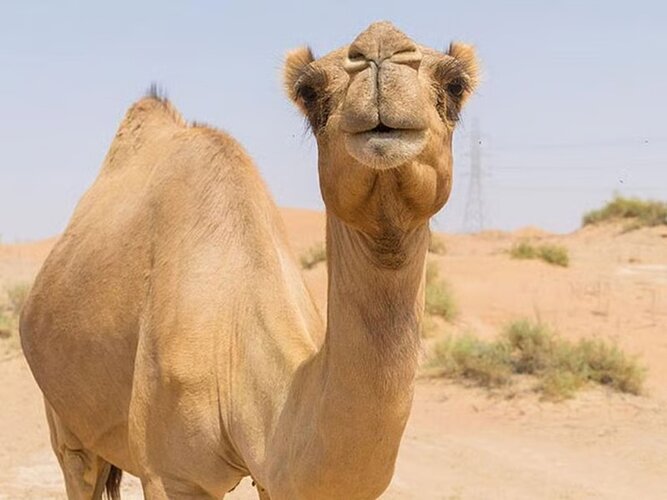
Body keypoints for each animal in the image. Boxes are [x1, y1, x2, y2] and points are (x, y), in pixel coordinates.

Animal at [20, 21, 478, 499]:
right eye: (309, 91)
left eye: (456, 84)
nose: (380, 44)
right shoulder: (169, 474)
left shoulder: (272, 475)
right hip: (65, 423)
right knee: (78, 463)